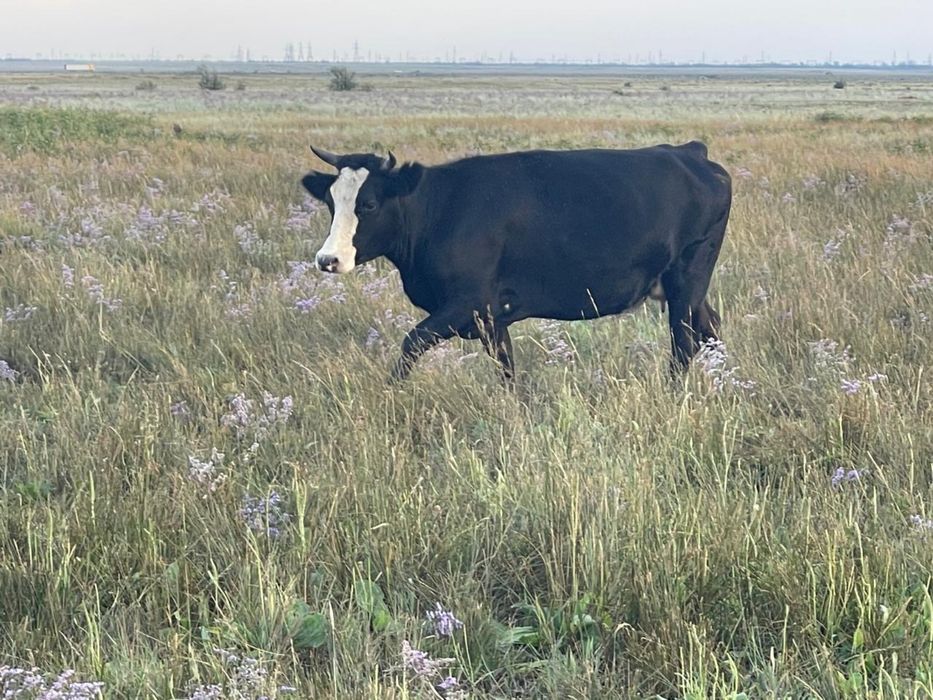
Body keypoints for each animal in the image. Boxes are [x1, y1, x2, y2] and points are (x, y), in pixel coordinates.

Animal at [300, 143, 731, 383]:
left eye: (370, 204)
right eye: (331, 201)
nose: (328, 259)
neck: (441, 210)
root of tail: (688, 151)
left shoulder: (467, 304)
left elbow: (411, 343)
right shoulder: (493, 318)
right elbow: (507, 372)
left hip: (687, 277)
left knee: (683, 342)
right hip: (683, 287)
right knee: (709, 327)